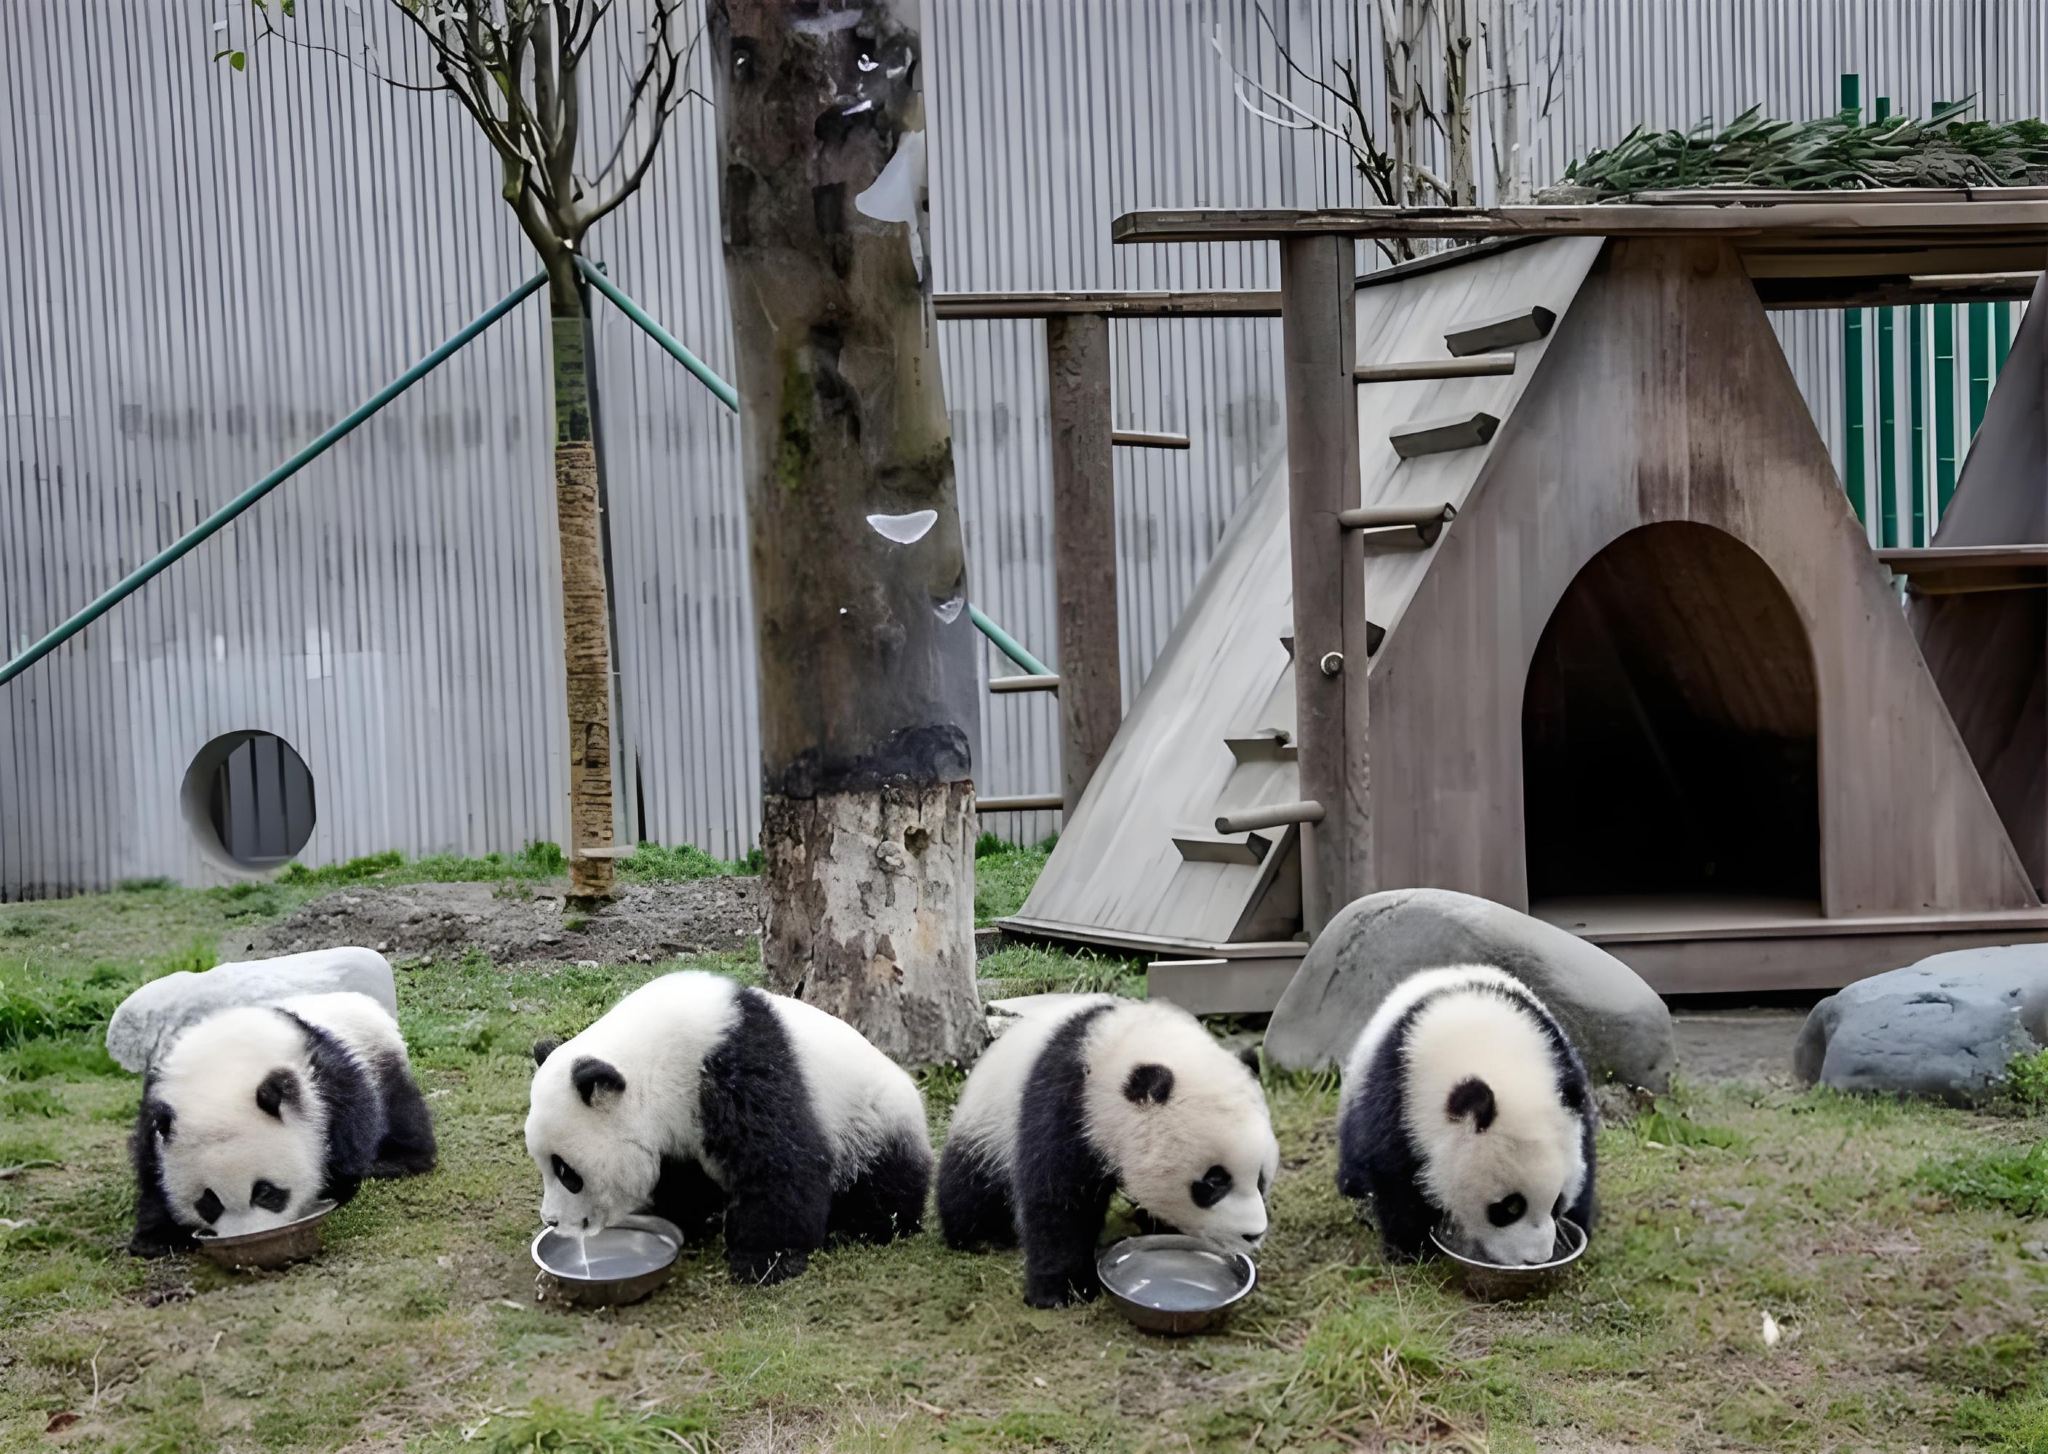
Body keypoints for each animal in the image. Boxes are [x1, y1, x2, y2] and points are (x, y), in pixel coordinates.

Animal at [129, 990, 437, 1256]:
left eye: (265, 1192)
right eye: (209, 1201)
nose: (248, 1235)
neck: (220, 1076)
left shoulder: (324, 1079)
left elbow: (349, 1135)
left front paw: (335, 1190)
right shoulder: (157, 1106)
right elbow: (151, 1173)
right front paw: (157, 1238)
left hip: (375, 1052)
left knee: (400, 1108)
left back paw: (399, 1160)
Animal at [524, 970, 932, 1285]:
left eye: (567, 1172)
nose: (552, 1220)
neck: (646, 1058)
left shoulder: (733, 1067)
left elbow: (779, 1162)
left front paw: (763, 1259)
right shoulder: (675, 1125)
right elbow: (682, 1175)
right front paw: (685, 1217)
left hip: (871, 1120)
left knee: (883, 1186)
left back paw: (862, 1226)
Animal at [937, 995, 1279, 1308]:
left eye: (1261, 1179)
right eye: (1213, 1182)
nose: (1253, 1235)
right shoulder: (1067, 1101)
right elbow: (1056, 1199)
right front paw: (1064, 1291)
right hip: (989, 1117)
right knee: (973, 1182)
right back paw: (980, 1236)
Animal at [1336, 965, 1595, 1266]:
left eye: (1557, 1203)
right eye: (1510, 1207)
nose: (1537, 1259)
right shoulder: (1399, 1098)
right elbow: (1396, 1177)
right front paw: (1411, 1249)